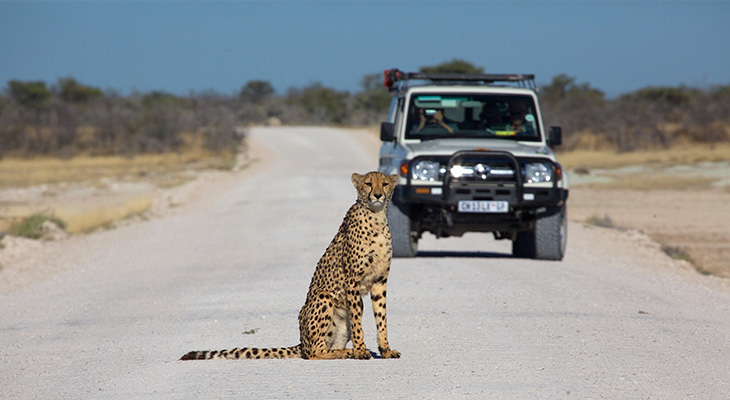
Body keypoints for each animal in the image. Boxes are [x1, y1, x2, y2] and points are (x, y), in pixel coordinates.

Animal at [180, 171, 400, 360]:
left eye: (385, 184)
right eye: (368, 183)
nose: (378, 195)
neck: (376, 216)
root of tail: (302, 341)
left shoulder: (380, 281)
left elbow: (381, 318)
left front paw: (386, 350)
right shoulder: (352, 281)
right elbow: (357, 322)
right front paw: (361, 350)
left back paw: (344, 351)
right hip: (324, 297)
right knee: (314, 352)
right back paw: (347, 352)